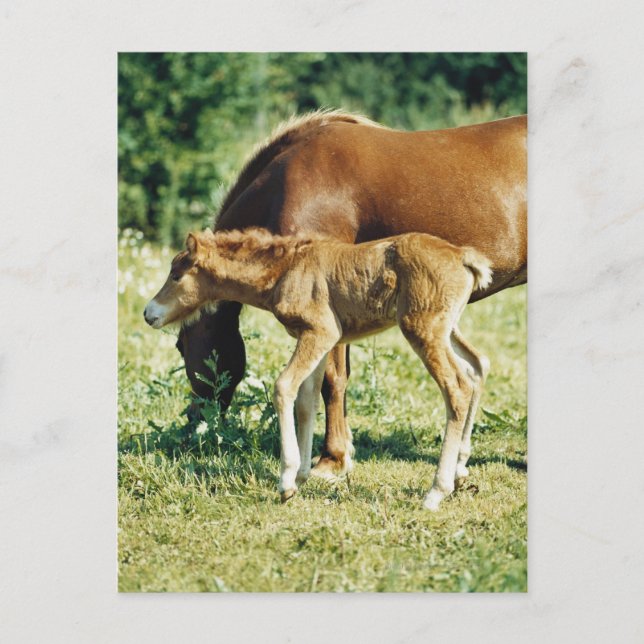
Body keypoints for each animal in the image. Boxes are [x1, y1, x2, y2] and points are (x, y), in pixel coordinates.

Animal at [145, 228, 492, 510]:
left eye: (176, 275)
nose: (149, 313)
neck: (285, 270)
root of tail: (462, 256)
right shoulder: (318, 338)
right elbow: (306, 400)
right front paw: (301, 475)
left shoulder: (321, 331)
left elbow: (284, 387)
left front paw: (286, 481)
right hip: (446, 328)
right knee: (476, 366)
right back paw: (459, 471)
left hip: (421, 328)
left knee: (457, 387)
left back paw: (436, 491)